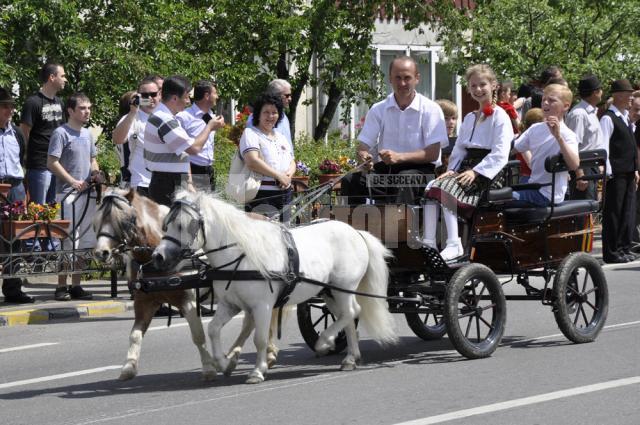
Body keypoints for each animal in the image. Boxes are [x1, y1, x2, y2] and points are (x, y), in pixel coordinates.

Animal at [93, 189, 280, 380]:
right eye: (97, 220)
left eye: (124, 220)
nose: (101, 253)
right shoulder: (144, 302)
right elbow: (135, 335)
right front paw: (129, 367)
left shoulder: (188, 302)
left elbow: (198, 335)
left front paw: (208, 367)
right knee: (252, 323)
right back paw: (243, 356)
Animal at [152, 190, 398, 382]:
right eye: (166, 224)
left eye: (182, 225)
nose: (158, 257)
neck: (241, 255)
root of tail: (356, 232)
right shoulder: (230, 305)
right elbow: (212, 329)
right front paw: (224, 363)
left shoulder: (263, 306)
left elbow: (259, 339)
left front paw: (256, 372)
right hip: (328, 291)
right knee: (346, 317)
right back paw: (350, 357)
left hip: (343, 287)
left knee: (351, 312)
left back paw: (324, 342)